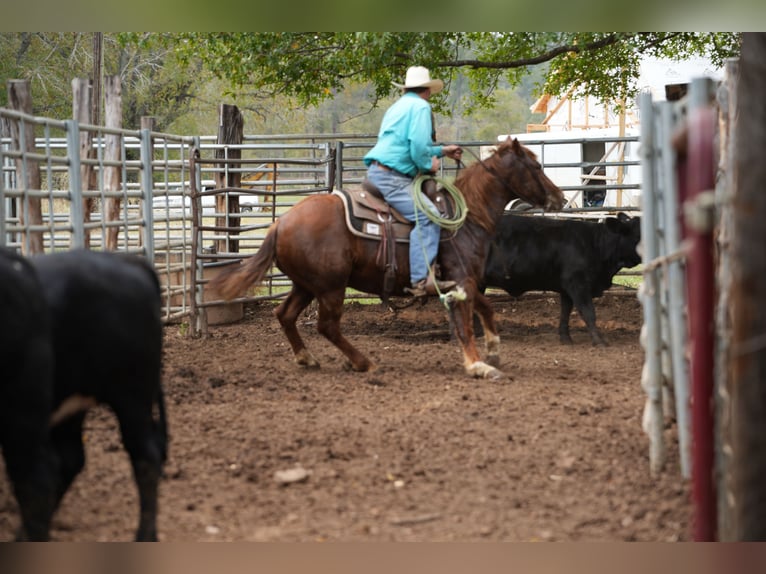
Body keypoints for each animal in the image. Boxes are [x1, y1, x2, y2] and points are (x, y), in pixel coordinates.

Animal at [208, 139, 564, 380]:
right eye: (536, 166)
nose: (559, 197)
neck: (467, 216)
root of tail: (280, 223)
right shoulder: (461, 279)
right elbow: (465, 323)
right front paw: (477, 364)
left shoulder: (466, 282)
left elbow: (487, 309)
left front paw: (494, 351)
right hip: (331, 287)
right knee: (326, 325)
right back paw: (363, 362)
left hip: (307, 284)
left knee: (285, 314)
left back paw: (307, 358)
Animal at [486, 213, 640, 344]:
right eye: (640, 234)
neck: (596, 245)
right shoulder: (577, 284)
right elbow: (588, 312)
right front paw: (599, 341)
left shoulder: (566, 289)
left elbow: (566, 312)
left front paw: (566, 338)